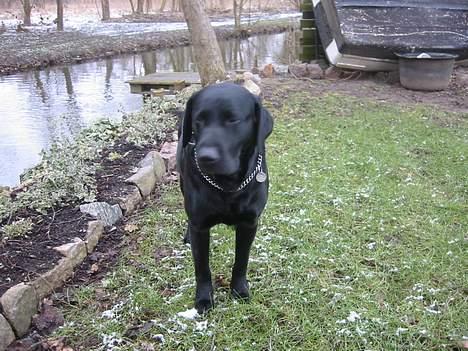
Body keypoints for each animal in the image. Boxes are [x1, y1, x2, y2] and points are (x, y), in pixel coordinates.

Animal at [178, 82, 274, 314]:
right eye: (198, 120)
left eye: (233, 120)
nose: (206, 157)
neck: (227, 185)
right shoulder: (200, 226)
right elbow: (202, 267)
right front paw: (204, 298)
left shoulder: (249, 223)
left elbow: (241, 260)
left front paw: (239, 290)